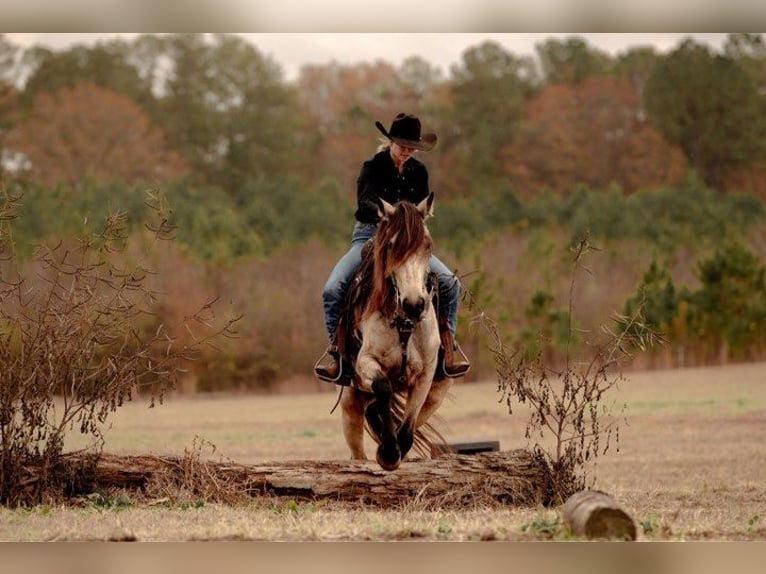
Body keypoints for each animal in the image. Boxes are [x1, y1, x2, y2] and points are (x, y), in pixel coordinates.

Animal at [334, 194, 452, 472]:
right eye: (391, 245)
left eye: (427, 245)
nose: (414, 304)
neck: (403, 322)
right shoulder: (365, 362)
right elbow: (383, 386)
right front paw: (388, 452)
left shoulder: (426, 373)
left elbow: (408, 428)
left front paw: (394, 449)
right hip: (350, 405)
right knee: (358, 447)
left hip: (437, 394)